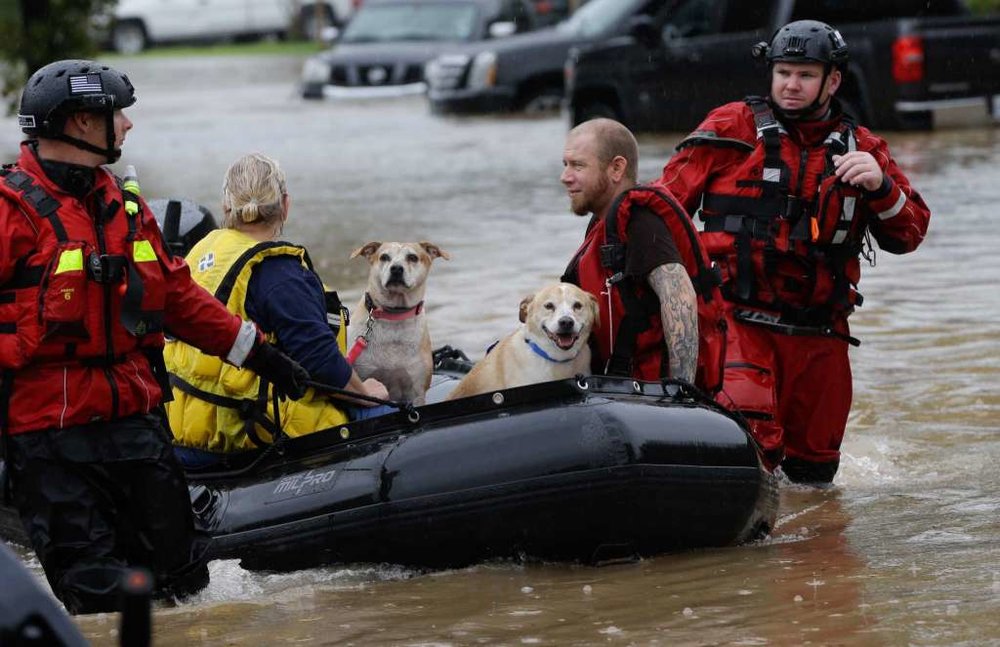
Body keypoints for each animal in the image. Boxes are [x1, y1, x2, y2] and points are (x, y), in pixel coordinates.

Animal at [348, 243, 450, 404]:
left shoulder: (416, 390)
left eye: (413, 257)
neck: (394, 315)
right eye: (384, 257)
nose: (396, 268)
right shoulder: (363, 376)